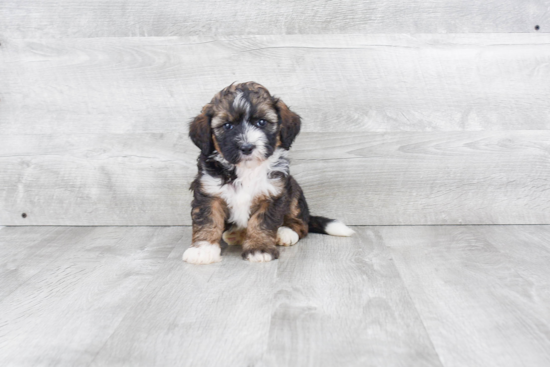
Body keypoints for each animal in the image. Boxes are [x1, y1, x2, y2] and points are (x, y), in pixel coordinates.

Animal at [183, 81, 356, 264]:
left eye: (261, 122)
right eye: (227, 126)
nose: (247, 147)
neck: (247, 169)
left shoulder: (273, 193)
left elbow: (261, 222)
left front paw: (259, 248)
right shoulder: (209, 192)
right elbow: (208, 220)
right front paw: (203, 249)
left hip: (294, 193)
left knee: (302, 224)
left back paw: (285, 232)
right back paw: (236, 233)